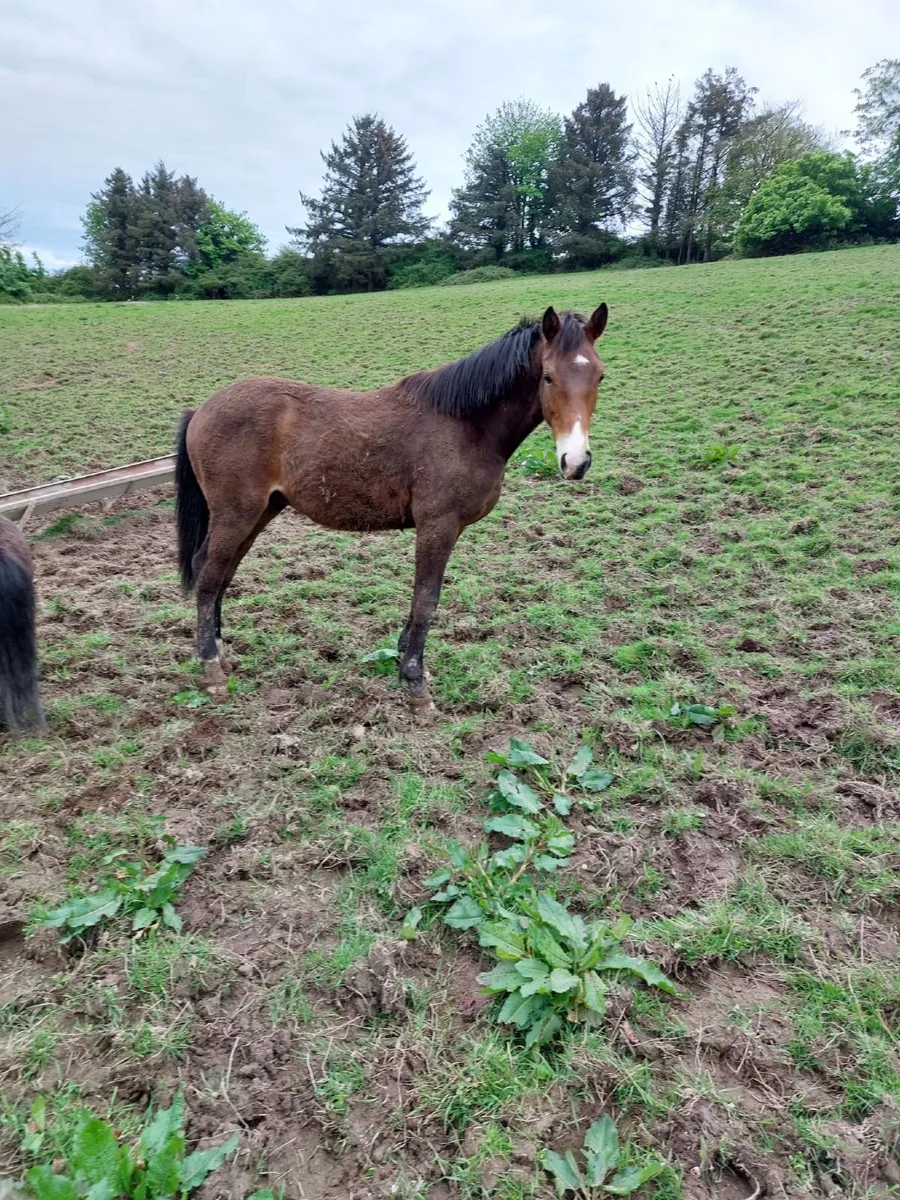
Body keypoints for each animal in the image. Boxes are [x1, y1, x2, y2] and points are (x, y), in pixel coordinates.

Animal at [175, 302, 608, 708]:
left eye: (600, 375)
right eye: (548, 376)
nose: (576, 462)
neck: (466, 425)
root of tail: (200, 410)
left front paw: (405, 660)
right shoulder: (438, 524)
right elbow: (426, 597)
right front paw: (414, 682)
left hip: (261, 511)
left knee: (222, 573)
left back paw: (219, 653)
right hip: (236, 513)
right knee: (209, 574)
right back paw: (211, 668)